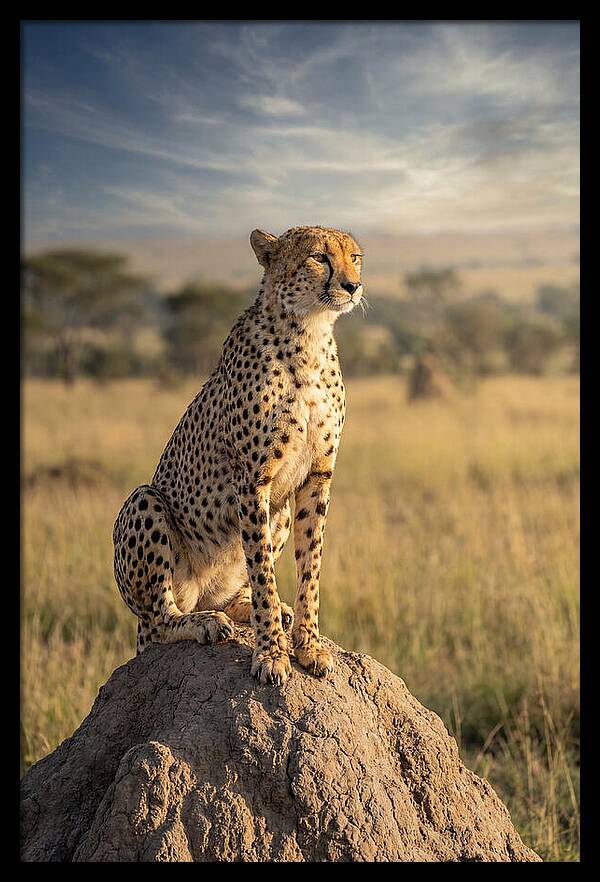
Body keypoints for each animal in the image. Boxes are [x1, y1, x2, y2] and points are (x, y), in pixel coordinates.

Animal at [112, 225, 364, 686]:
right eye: (319, 257)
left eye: (354, 257)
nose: (352, 286)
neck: (309, 333)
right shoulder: (252, 480)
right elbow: (263, 570)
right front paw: (271, 654)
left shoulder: (317, 476)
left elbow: (310, 567)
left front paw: (308, 645)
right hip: (144, 503)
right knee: (160, 619)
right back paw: (204, 623)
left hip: (279, 512)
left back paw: (253, 610)